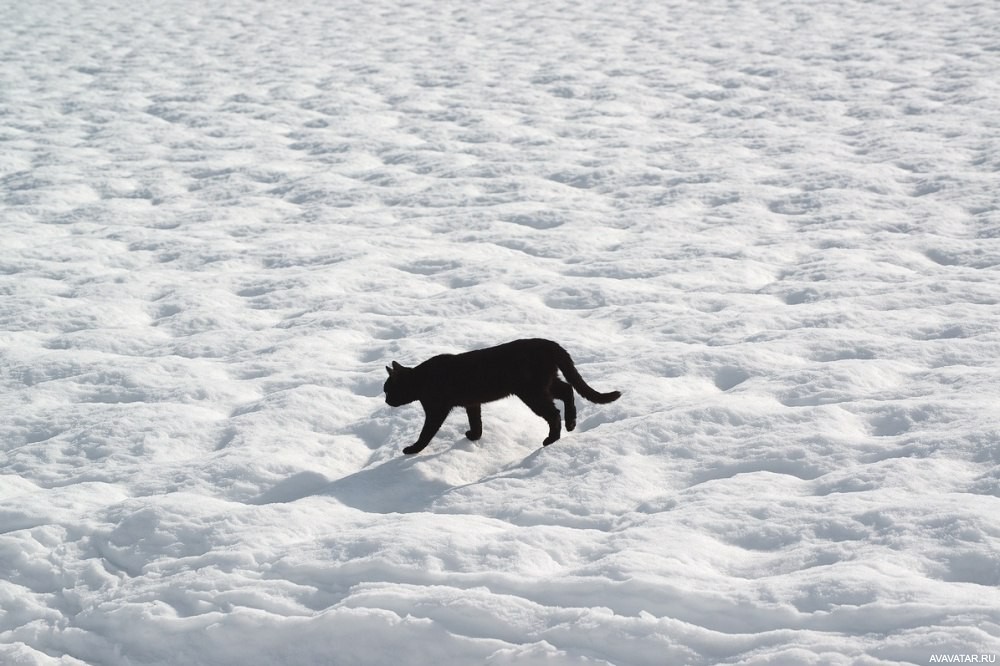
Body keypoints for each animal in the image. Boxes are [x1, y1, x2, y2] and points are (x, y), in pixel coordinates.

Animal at [386, 338, 620, 452]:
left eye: (387, 389)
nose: (386, 400)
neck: (421, 379)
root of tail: (549, 344)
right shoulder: (473, 403)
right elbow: (476, 421)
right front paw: (474, 436)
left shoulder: (436, 410)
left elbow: (426, 433)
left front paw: (413, 449)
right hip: (546, 384)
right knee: (567, 390)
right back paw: (571, 423)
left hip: (532, 392)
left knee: (554, 412)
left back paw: (551, 439)